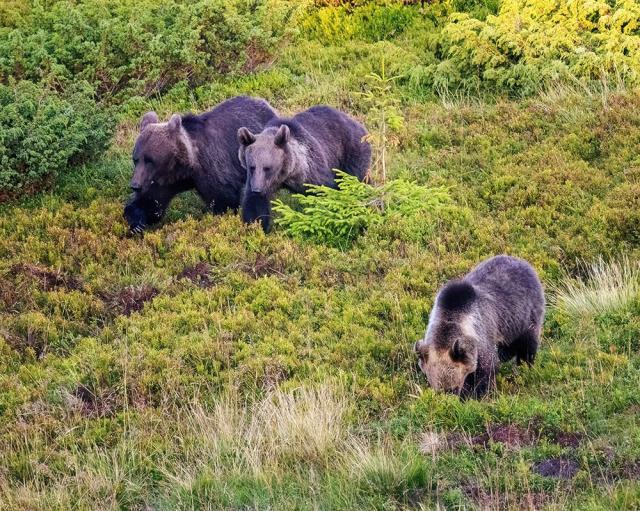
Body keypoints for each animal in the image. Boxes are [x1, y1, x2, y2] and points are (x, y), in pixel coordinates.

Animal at [124, 96, 276, 234]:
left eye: (150, 160)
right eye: (136, 159)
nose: (135, 185)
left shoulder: (211, 167)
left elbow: (224, 200)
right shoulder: (161, 181)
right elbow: (152, 202)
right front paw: (137, 222)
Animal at [235, 105, 370, 232]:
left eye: (267, 168)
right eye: (252, 167)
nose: (257, 189)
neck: (288, 174)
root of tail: (355, 122)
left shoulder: (311, 170)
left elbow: (324, 193)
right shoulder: (257, 181)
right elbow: (255, 206)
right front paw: (257, 226)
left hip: (351, 153)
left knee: (358, 181)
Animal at [416, 256, 544, 400]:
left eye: (453, 388)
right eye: (438, 389)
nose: (449, 399)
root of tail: (522, 261)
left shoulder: (481, 337)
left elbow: (486, 369)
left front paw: (478, 394)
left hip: (525, 314)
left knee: (528, 343)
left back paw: (525, 366)